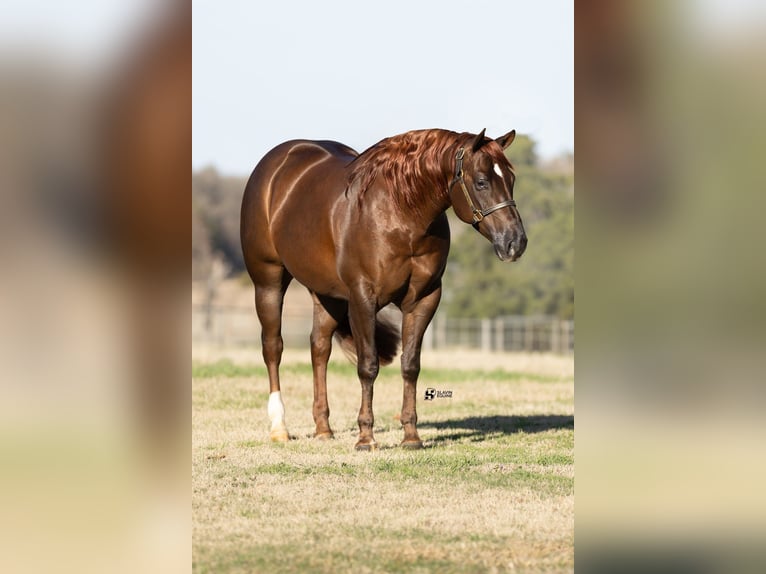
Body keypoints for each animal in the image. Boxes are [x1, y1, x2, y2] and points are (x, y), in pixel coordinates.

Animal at [240, 128, 527, 450]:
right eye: (481, 181)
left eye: (511, 179)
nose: (515, 242)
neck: (401, 214)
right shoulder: (362, 298)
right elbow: (368, 366)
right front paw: (366, 437)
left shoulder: (424, 299)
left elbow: (410, 365)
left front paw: (411, 436)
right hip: (268, 281)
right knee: (273, 347)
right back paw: (280, 427)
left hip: (327, 295)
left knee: (319, 348)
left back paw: (324, 428)